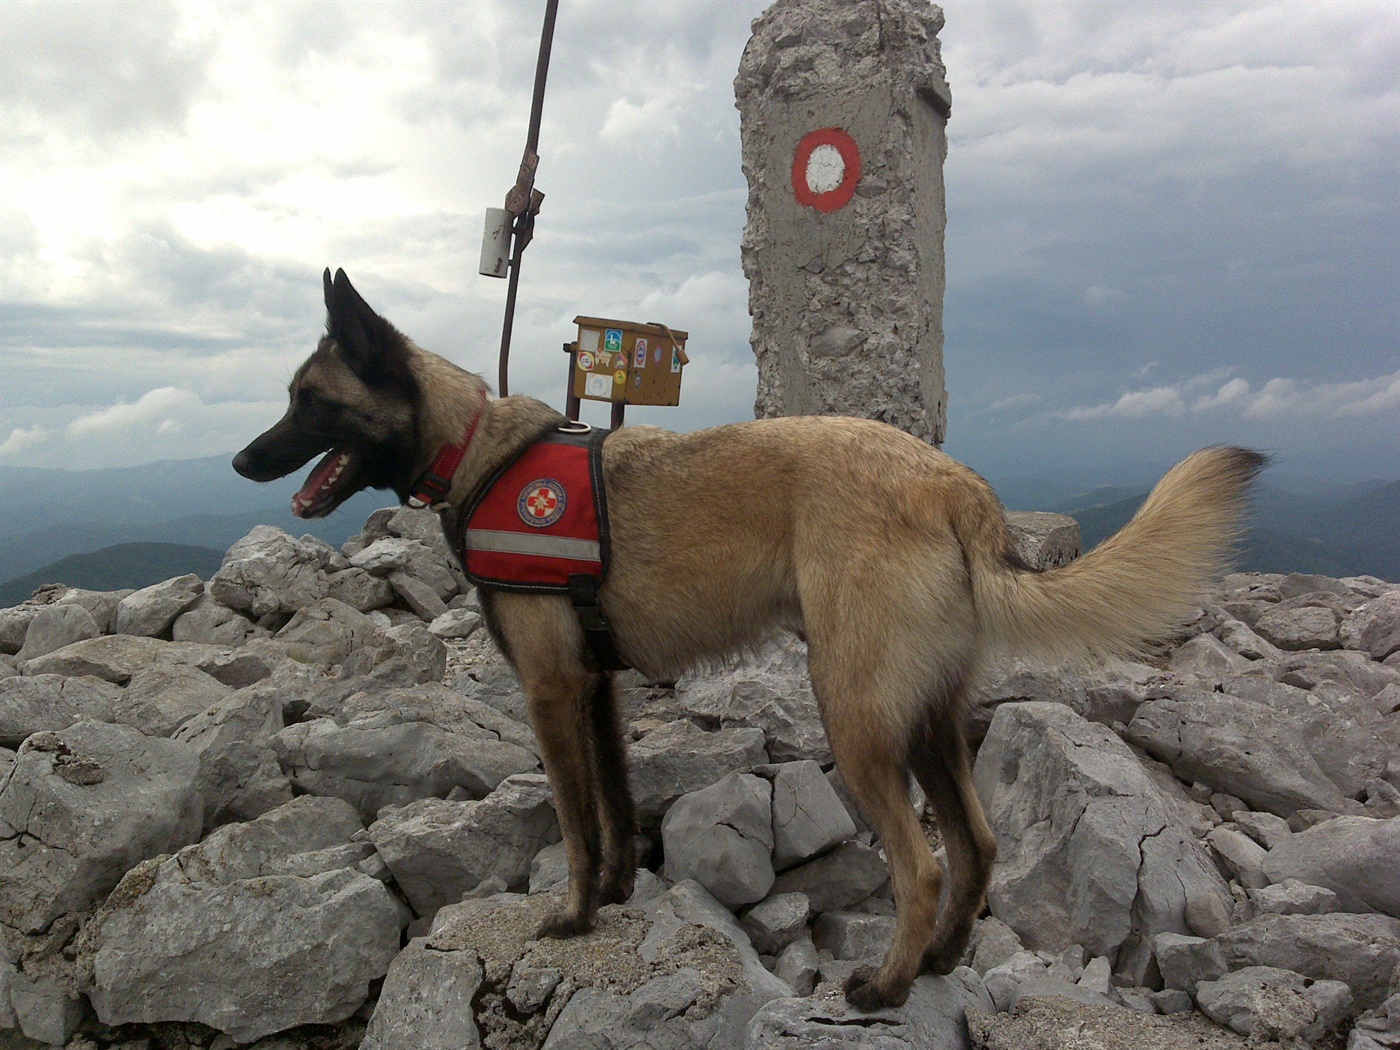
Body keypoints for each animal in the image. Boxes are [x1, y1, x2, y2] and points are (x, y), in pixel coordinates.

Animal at [235, 271, 1265, 1013]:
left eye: (308, 400)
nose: (244, 460)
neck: (476, 450)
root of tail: (956, 487)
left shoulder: (551, 691)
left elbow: (572, 820)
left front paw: (572, 915)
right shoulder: (595, 689)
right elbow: (614, 808)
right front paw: (617, 892)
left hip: (854, 716)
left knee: (925, 862)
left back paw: (887, 985)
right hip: (927, 717)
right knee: (975, 845)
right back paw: (940, 959)